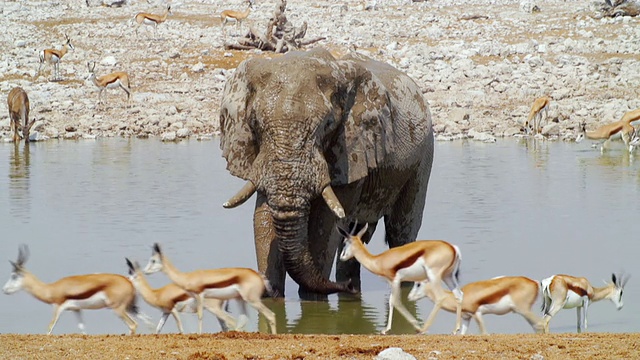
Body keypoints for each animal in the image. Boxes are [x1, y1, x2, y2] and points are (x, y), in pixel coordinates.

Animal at [3, 245, 150, 334]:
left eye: (14, 275)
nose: (4, 290)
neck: (51, 289)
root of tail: (128, 281)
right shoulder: (76, 310)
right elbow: (83, 330)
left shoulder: (57, 308)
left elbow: (49, 329)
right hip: (130, 307)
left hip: (118, 309)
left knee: (133, 325)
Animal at [144, 243, 276, 336]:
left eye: (153, 260)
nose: (145, 271)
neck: (187, 277)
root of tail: (259, 276)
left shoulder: (199, 296)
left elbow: (200, 316)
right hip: (240, 300)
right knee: (242, 320)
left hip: (251, 300)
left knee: (270, 315)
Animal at [220, 46, 436, 298]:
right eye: (254, 122)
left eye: (328, 124)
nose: (347, 288)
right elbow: (263, 216)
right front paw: (269, 294)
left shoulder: (350, 150)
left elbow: (325, 221)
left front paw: (312, 298)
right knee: (358, 234)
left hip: (422, 157)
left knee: (401, 230)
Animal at [408, 276, 544, 334]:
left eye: (418, 284)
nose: (409, 297)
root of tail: (535, 283)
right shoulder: (466, 318)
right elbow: (462, 334)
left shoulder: (476, 314)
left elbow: (484, 333)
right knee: (537, 326)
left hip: (524, 310)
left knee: (540, 324)